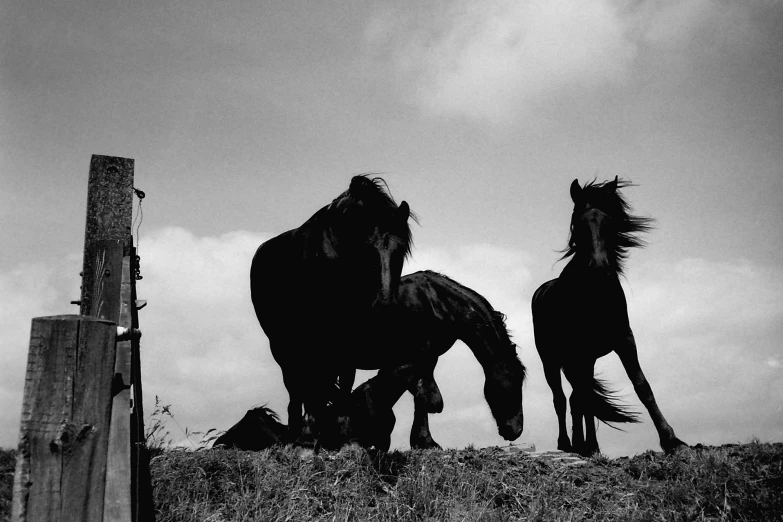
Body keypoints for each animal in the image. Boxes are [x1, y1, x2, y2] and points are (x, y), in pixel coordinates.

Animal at [254, 176, 416, 442]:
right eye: (367, 249)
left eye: (401, 249)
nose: (384, 305)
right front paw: (311, 430)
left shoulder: (350, 334)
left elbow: (345, 380)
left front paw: (343, 430)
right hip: (281, 344)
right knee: (295, 386)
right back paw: (298, 431)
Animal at [532, 178, 688, 456]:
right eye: (578, 223)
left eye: (610, 222)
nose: (599, 268)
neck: (596, 296)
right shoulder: (578, 350)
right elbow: (581, 397)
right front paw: (583, 443)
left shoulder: (623, 340)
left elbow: (642, 386)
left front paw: (671, 439)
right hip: (551, 359)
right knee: (561, 398)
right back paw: (567, 443)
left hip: (585, 360)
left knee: (579, 397)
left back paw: (586, 444)